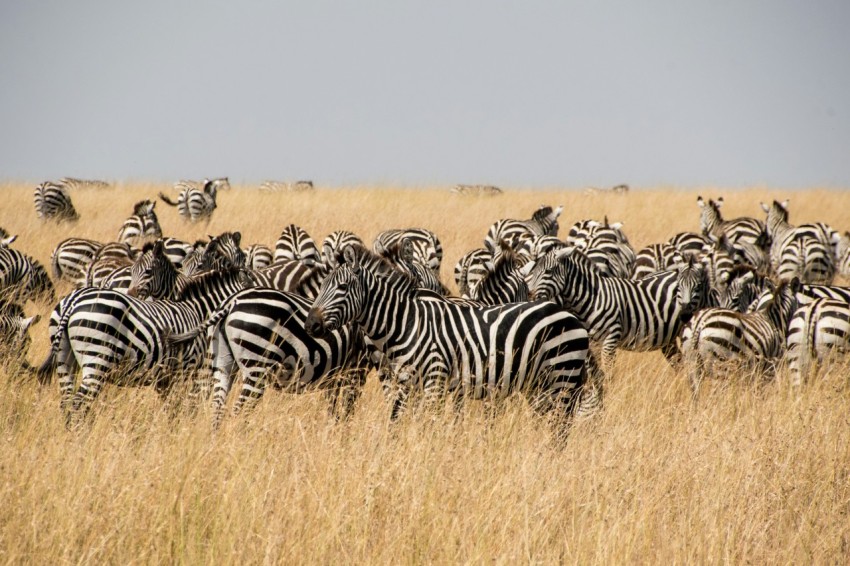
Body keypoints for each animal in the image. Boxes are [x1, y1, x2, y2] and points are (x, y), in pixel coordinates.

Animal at [36, 267, 253, 422]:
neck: (199, 312)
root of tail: (73, 301)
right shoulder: (189, 368)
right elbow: (188, 405)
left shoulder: (166, 376)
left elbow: (171, 408)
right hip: (97, 357)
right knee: (78, 404)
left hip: (64, 359)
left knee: (66, 402)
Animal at [305, 246, 598, 429]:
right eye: (322, 286)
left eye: (342, 287)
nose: (311, 324)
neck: (407, 323)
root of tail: (570, 315)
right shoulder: (409, 383)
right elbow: (403, 420)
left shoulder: (436, 379)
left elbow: (431, 423)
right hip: (546, 382)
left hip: (562, 375)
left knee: (560, 425)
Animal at [526, 248, 710, 377]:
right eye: (533, 272)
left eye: (548, 272)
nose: (530, 296)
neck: (592, 298)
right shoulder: (592, 343)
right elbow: (595, 373)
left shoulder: (610, 338)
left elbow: (608, 372)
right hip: (667, 338)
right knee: (679, 363)